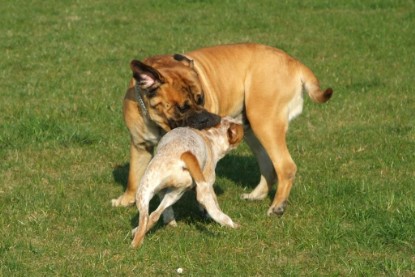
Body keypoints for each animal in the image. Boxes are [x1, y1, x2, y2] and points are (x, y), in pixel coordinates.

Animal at [112, 43, 334, 216]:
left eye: (201, 99)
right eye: (182, 107)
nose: (206, 118)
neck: (158, 124)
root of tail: (294, 62)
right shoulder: (139, 146)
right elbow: (134, 175)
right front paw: (126, 200)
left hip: (265, 122)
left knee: (285, 166)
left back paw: (277, 207)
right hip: (252, 129)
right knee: (268, 166)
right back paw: (256, 195)